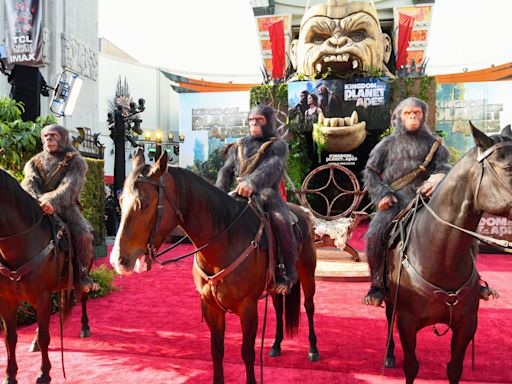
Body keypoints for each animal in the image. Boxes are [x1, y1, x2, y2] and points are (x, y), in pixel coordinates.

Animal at [111, 150, 318, 384]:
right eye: (121, 201)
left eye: (144, 204)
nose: (118, 260)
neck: (224, 241)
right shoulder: (210, 306)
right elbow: (217, 351)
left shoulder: (248, 308)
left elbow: (247, 352)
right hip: (275, 286)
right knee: (279, 307)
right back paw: (276, 345)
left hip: (307, 274)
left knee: (309, 307)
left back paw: (313, 349)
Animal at [384, 124, 512, 384]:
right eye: (507, 168)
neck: (441, 257)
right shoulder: (407, 322)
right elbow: (411, 366)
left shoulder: (467, 325)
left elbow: (454, 368)